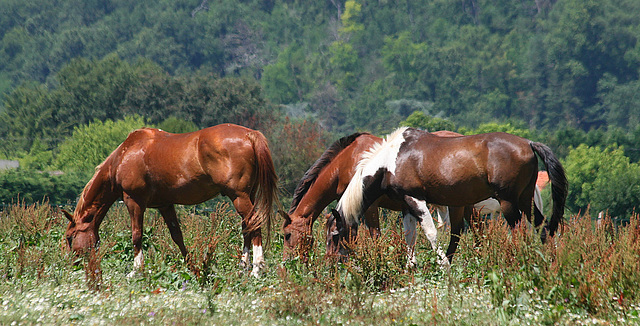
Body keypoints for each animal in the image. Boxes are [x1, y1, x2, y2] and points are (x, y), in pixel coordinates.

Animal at [63, 123, 280, 276]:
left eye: (69, 237)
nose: (73, 264)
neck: (123, 157)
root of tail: (250, 134)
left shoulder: (134, 202)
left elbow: (136, 235)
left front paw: (136, 270)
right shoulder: (165, 205)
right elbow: (177, 236)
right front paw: (192, 268)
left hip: (239, 196)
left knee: (253, 222)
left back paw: (256, 268)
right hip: (247, 195)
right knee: (247, 226)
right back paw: (243, 265)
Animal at [332, 126, 568, 264]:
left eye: (334, 234)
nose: (333, 263)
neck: (391, 160)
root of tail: (528, 143)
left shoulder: (416, 200)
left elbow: (431, 233)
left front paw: (442, 263)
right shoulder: (407, 205)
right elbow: (411, 236)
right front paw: (411, 266)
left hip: (509, 202)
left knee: (520, 231)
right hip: (525, 200)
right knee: (543, 226)